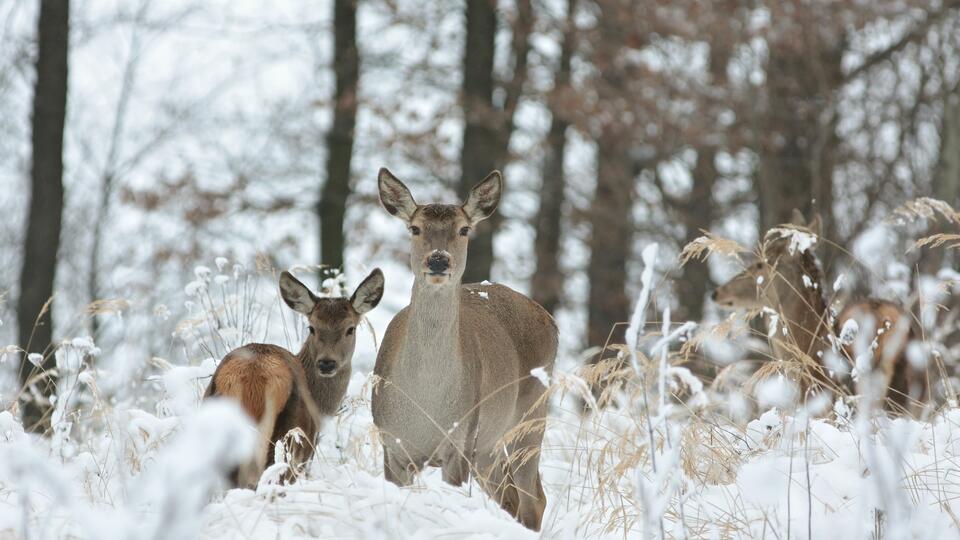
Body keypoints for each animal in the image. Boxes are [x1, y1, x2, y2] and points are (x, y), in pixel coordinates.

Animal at [204, 268, 384, 488]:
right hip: (286, 443)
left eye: (351, 328)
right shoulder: (307, 451)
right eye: (312, 327)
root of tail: (251, 379)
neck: (320, 408)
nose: (326, 363)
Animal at [372, 167, 560, 528]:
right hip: (488, 446)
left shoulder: (459, 442)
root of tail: (550, 319)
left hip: (530, 417)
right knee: (510, 496)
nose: (438, 260)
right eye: (415, 228)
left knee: (534, 499)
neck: (425, 402)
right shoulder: (392, 445)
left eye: (464, 229)